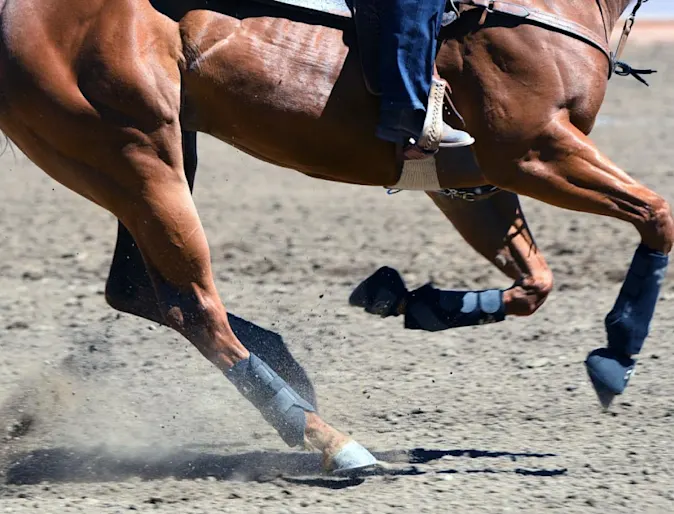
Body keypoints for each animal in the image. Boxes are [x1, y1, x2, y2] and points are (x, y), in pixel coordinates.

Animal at [0, 0, 664, 472]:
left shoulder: (478, 176)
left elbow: (536, 282)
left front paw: (412, 300)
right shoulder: (533, 151)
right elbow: (658, 215)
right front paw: (618, 354)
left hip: (146, 154)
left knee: (136, 289)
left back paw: (290, 369)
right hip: (135, 153)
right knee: (191, 308)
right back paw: (331, 441)